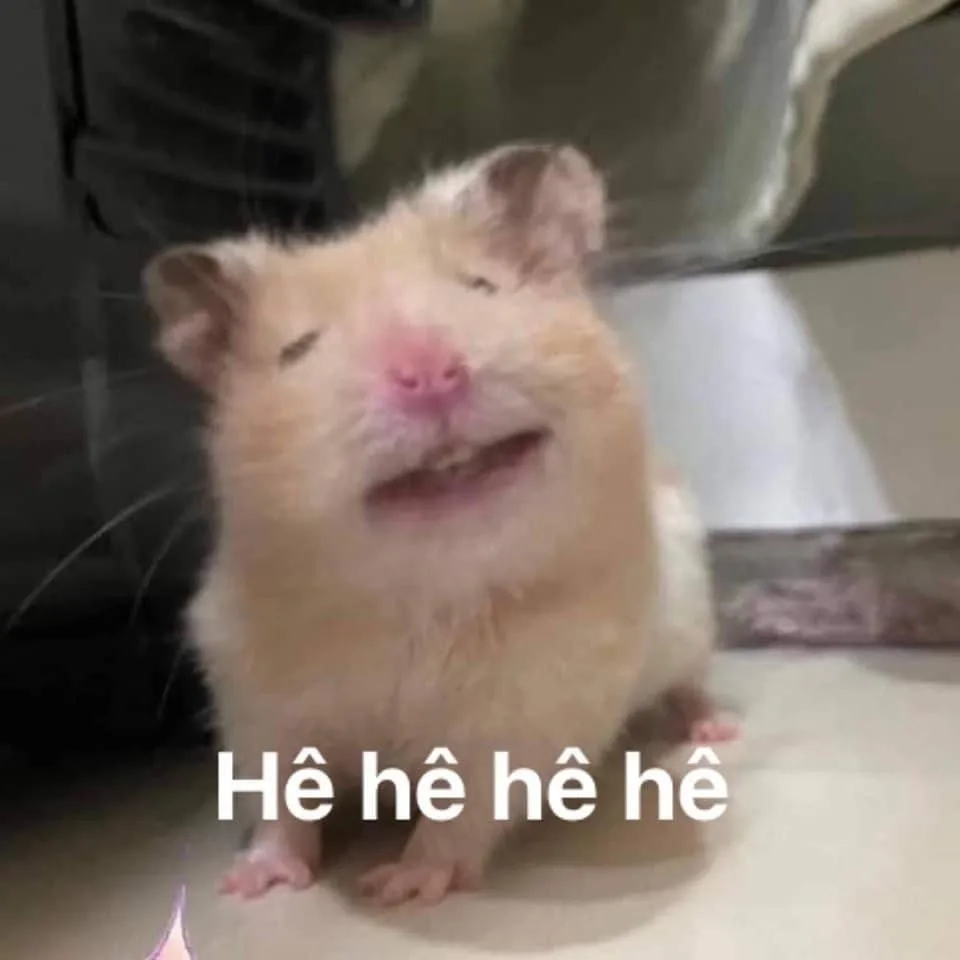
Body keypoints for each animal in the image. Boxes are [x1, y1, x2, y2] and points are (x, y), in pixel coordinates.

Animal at [142, 142, 734, 907]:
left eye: (481, 287)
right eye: (297, 350)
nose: (430, 375)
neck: (424, 596)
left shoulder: (523, 726)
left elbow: (461, 815)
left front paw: (396, 884)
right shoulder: (257, 707)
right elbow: (282, 802)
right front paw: (250, 883)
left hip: (690, 620)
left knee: (689, 682)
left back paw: (713, 729)